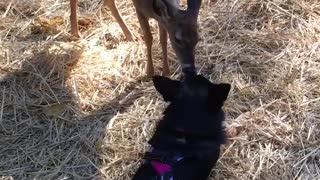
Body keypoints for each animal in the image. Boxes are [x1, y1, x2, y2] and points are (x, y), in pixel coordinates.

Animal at [69, 0, 202, 76]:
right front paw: (149, 71)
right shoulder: (138, 8)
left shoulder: (162, 19)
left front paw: (166, 71)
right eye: (177, 39)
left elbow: (163, 39)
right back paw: (75, 33)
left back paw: (130, 35)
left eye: (197, 39)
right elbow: (148, 38)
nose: (190, 69)